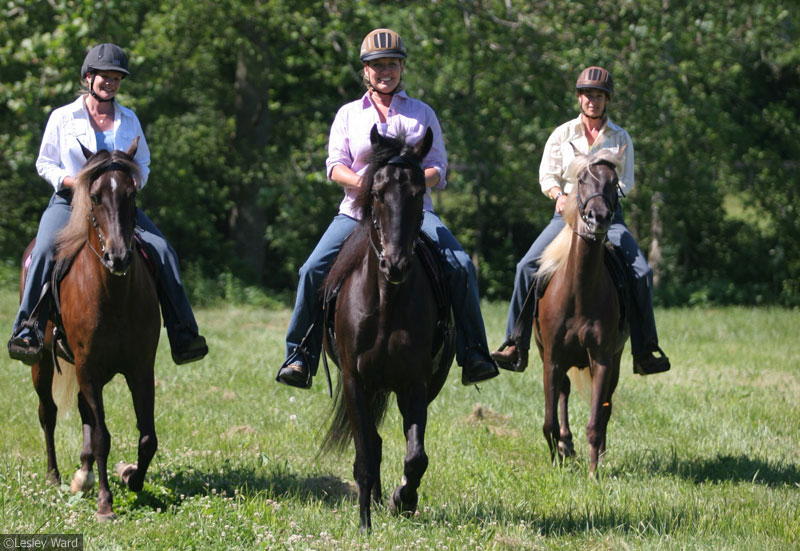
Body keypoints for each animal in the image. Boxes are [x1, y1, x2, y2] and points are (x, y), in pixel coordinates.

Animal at [23, 139, 161, 520]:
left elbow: (147, 437)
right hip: (43, 363)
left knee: (84, 413)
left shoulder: (140, 368)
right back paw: (54, 476)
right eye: (95, 196)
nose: (118, 257)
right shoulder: (87, 368)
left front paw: (131, 478)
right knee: (48, 414)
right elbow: (102, 437)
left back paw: (81, 476)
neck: (113, 295)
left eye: (132, 193)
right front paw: (105, 503)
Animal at [320, 127, 456, 532]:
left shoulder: (414, 384)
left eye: (418, 193)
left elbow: (416, 456)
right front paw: (365, 523)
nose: (394, 265)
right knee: (373, 444)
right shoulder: (355, 381)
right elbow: (365, 454)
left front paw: (403, 500)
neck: (385, 303)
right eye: (378, 193)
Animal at [532, 147, 632, 478]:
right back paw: (566, 445)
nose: (598, 217)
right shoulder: (551, 358)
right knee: (563, 393)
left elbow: (596, 421)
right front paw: (556, 461)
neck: (578, 293)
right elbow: (549, 420)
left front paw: (593, 472)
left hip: (615, 359)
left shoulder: (602, 358)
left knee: (606, 406)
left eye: (614, 182)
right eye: (582, 180)